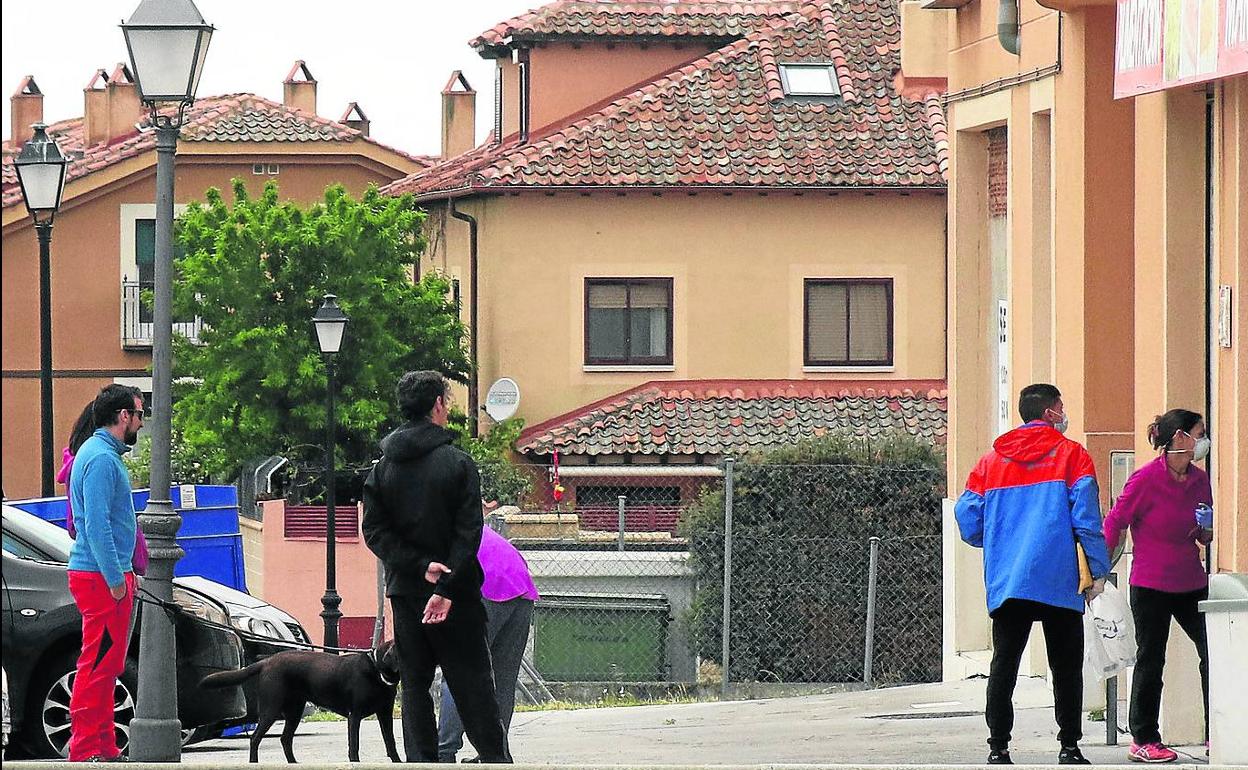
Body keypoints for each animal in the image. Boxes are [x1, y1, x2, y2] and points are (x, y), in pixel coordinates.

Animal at [200, 638, 399, 758]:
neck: (376, 670)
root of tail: (267, 661)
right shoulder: (354, 715)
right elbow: (354, 745)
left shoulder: (385, 713)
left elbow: (390, 742)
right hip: (271, 709)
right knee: (255, 738)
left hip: (294, 711)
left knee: (285, 739)